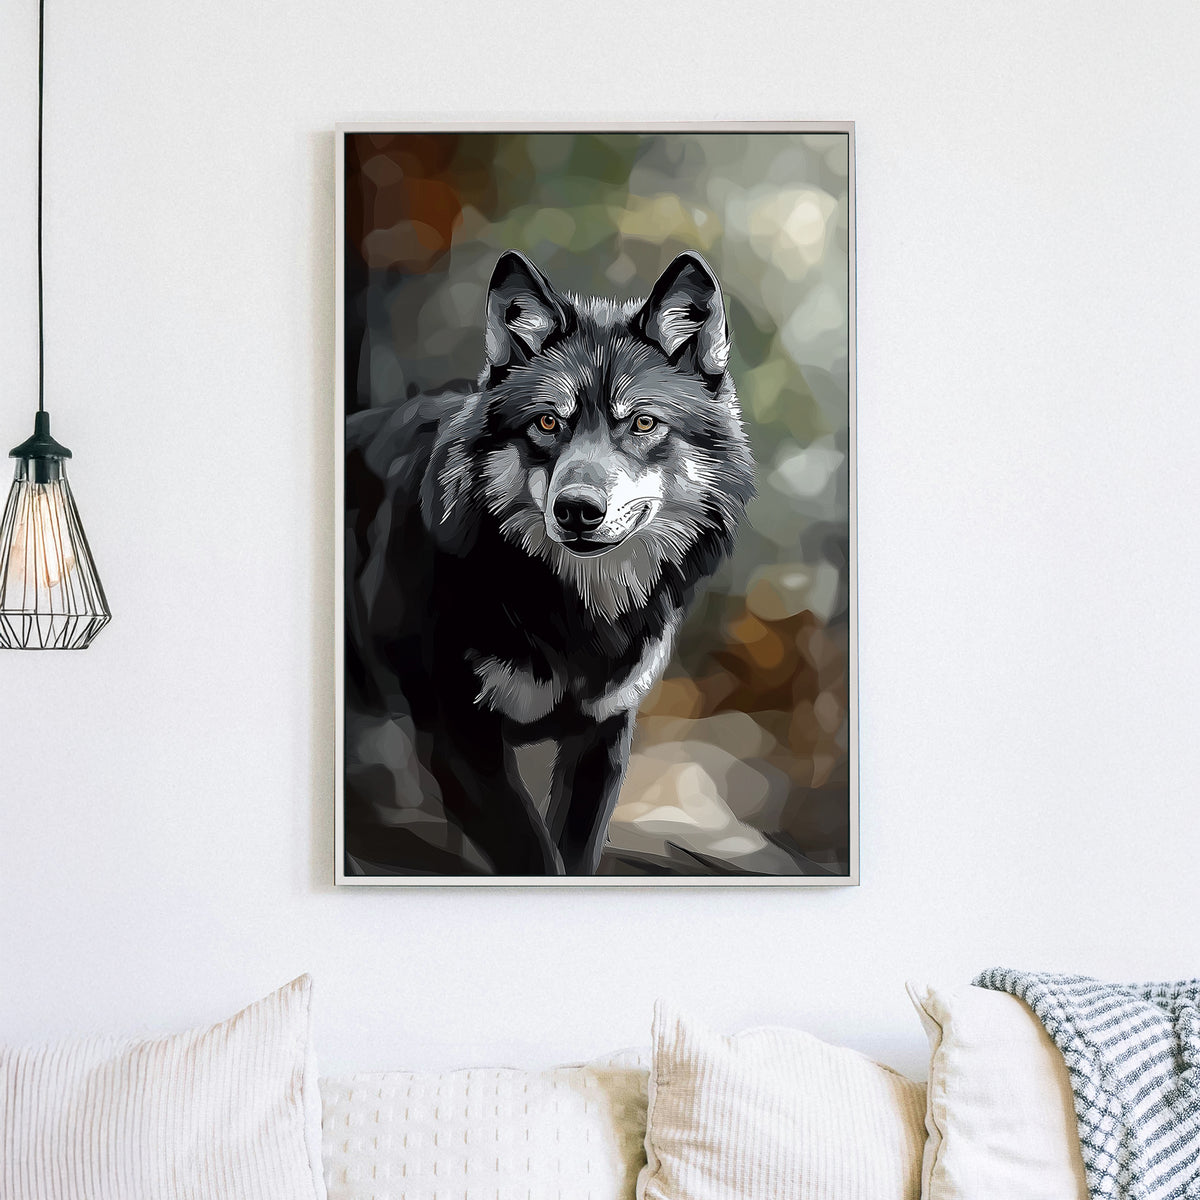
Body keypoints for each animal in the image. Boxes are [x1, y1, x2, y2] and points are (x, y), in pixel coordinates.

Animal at [344, 249, 755, 876]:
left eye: (642, 422)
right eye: (547, 423)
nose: (577, 509)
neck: (574, 615)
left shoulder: (603, 735)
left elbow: (575, 854)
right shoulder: (459, 741)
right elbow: (535, 857)